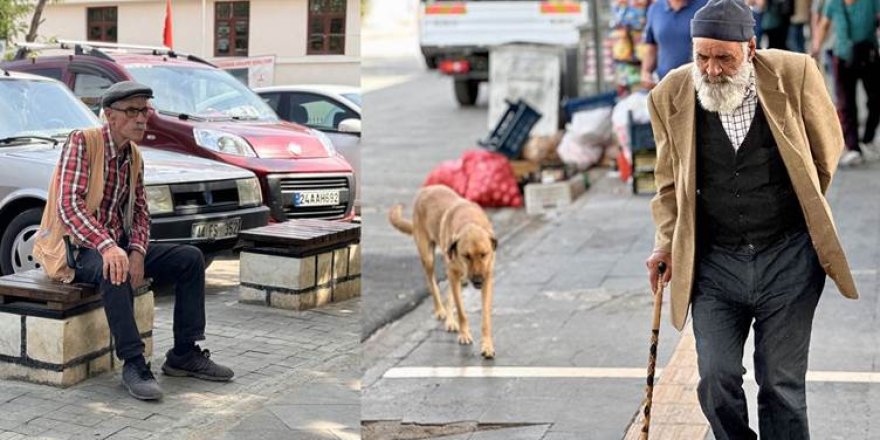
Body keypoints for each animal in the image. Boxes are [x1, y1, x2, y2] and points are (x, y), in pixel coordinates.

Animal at [390, 184, 498, 360]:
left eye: (484, 254)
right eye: (466, 256)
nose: (477, 281)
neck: (469, 221)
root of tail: (427, 189)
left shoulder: (487, 277)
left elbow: (486, 318)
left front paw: (487, 346)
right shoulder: (454, 273)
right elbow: (461, 311)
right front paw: (464, 334)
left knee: (449, 294)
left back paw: (450, 319)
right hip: (428, 258)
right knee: (433, 284)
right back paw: (441, 311)